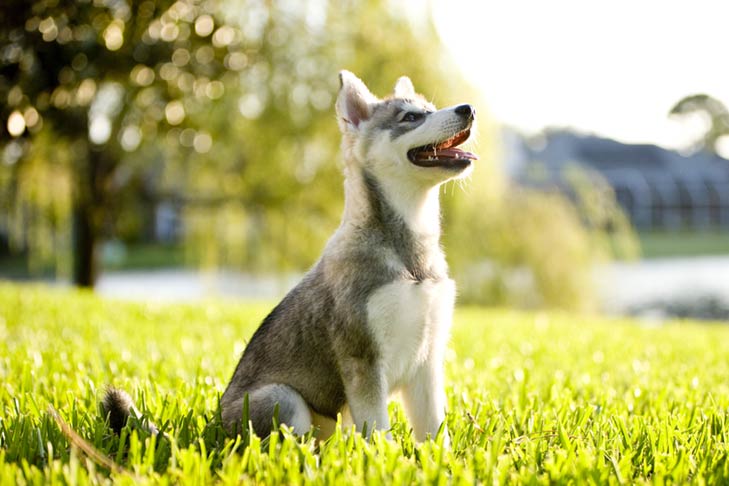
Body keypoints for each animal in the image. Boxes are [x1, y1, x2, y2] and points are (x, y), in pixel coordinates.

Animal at [104, 70, 478, 446]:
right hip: (282, 398)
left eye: (429, 108)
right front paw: (384, 458)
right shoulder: (363, 360)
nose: (468, 108)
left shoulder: (427, 362)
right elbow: (377, 433)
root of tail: (211, 432)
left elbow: (435, 432)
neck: (409, 254)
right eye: (411, 117)